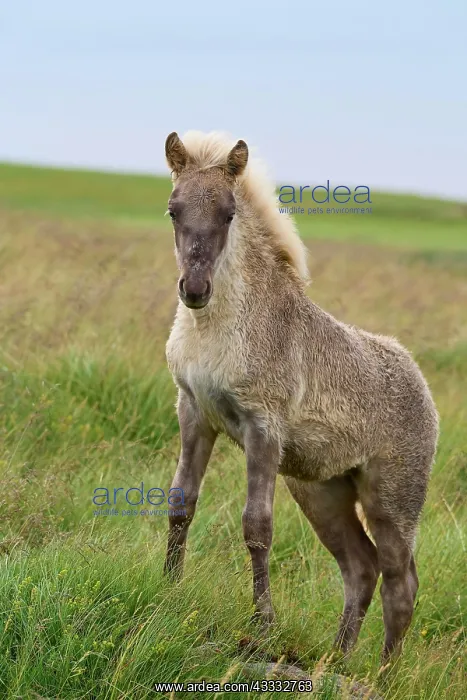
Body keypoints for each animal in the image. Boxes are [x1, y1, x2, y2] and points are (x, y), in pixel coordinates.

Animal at [163, 130, 438, 660]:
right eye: (173, 209)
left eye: (228, 213)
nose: (195, 289)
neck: (217, 328)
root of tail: (423, 387)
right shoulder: (194, 412)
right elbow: (181, 503)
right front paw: (167, 586)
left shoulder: (262, 428)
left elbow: (257, 527)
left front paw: (263, 624)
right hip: (321, 493)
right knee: (361, 568)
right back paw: (337, 658)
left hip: (391, 501)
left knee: (401, 581)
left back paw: (382, 671)